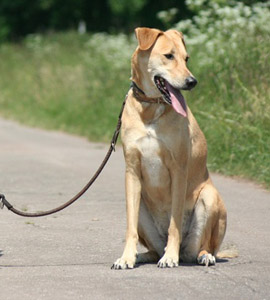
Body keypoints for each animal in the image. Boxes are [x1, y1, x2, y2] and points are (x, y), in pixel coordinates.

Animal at [110, 27, 227, 268]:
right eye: (169, 56)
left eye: (186, 58)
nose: (192, 81)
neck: (151, 108)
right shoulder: (132, 171)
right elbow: (130, 227)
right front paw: (126, 257)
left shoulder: (178, 169)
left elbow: (175, 224)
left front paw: (170, 257)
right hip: (141, 206)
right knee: (154, 249)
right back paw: (143, 255)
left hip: (209, 198)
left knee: (203, 246)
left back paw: (201, 256)